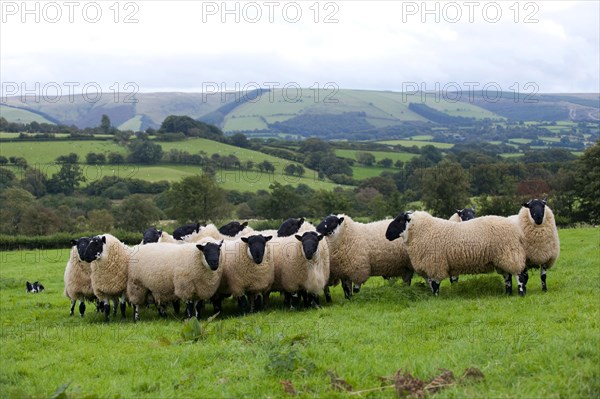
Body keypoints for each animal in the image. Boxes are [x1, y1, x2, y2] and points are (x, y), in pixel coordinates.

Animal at [386, 212, 528, 296]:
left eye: (400, 221)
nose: (387, 234)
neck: (422, 231)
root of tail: (517, 230)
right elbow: (434, 283)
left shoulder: (435, 264)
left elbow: (435, 284)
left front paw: (435, 298)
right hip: (502, 258)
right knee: (508, 276)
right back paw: (507, 293)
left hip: (510, 253)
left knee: (519, 275)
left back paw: (520, 293)